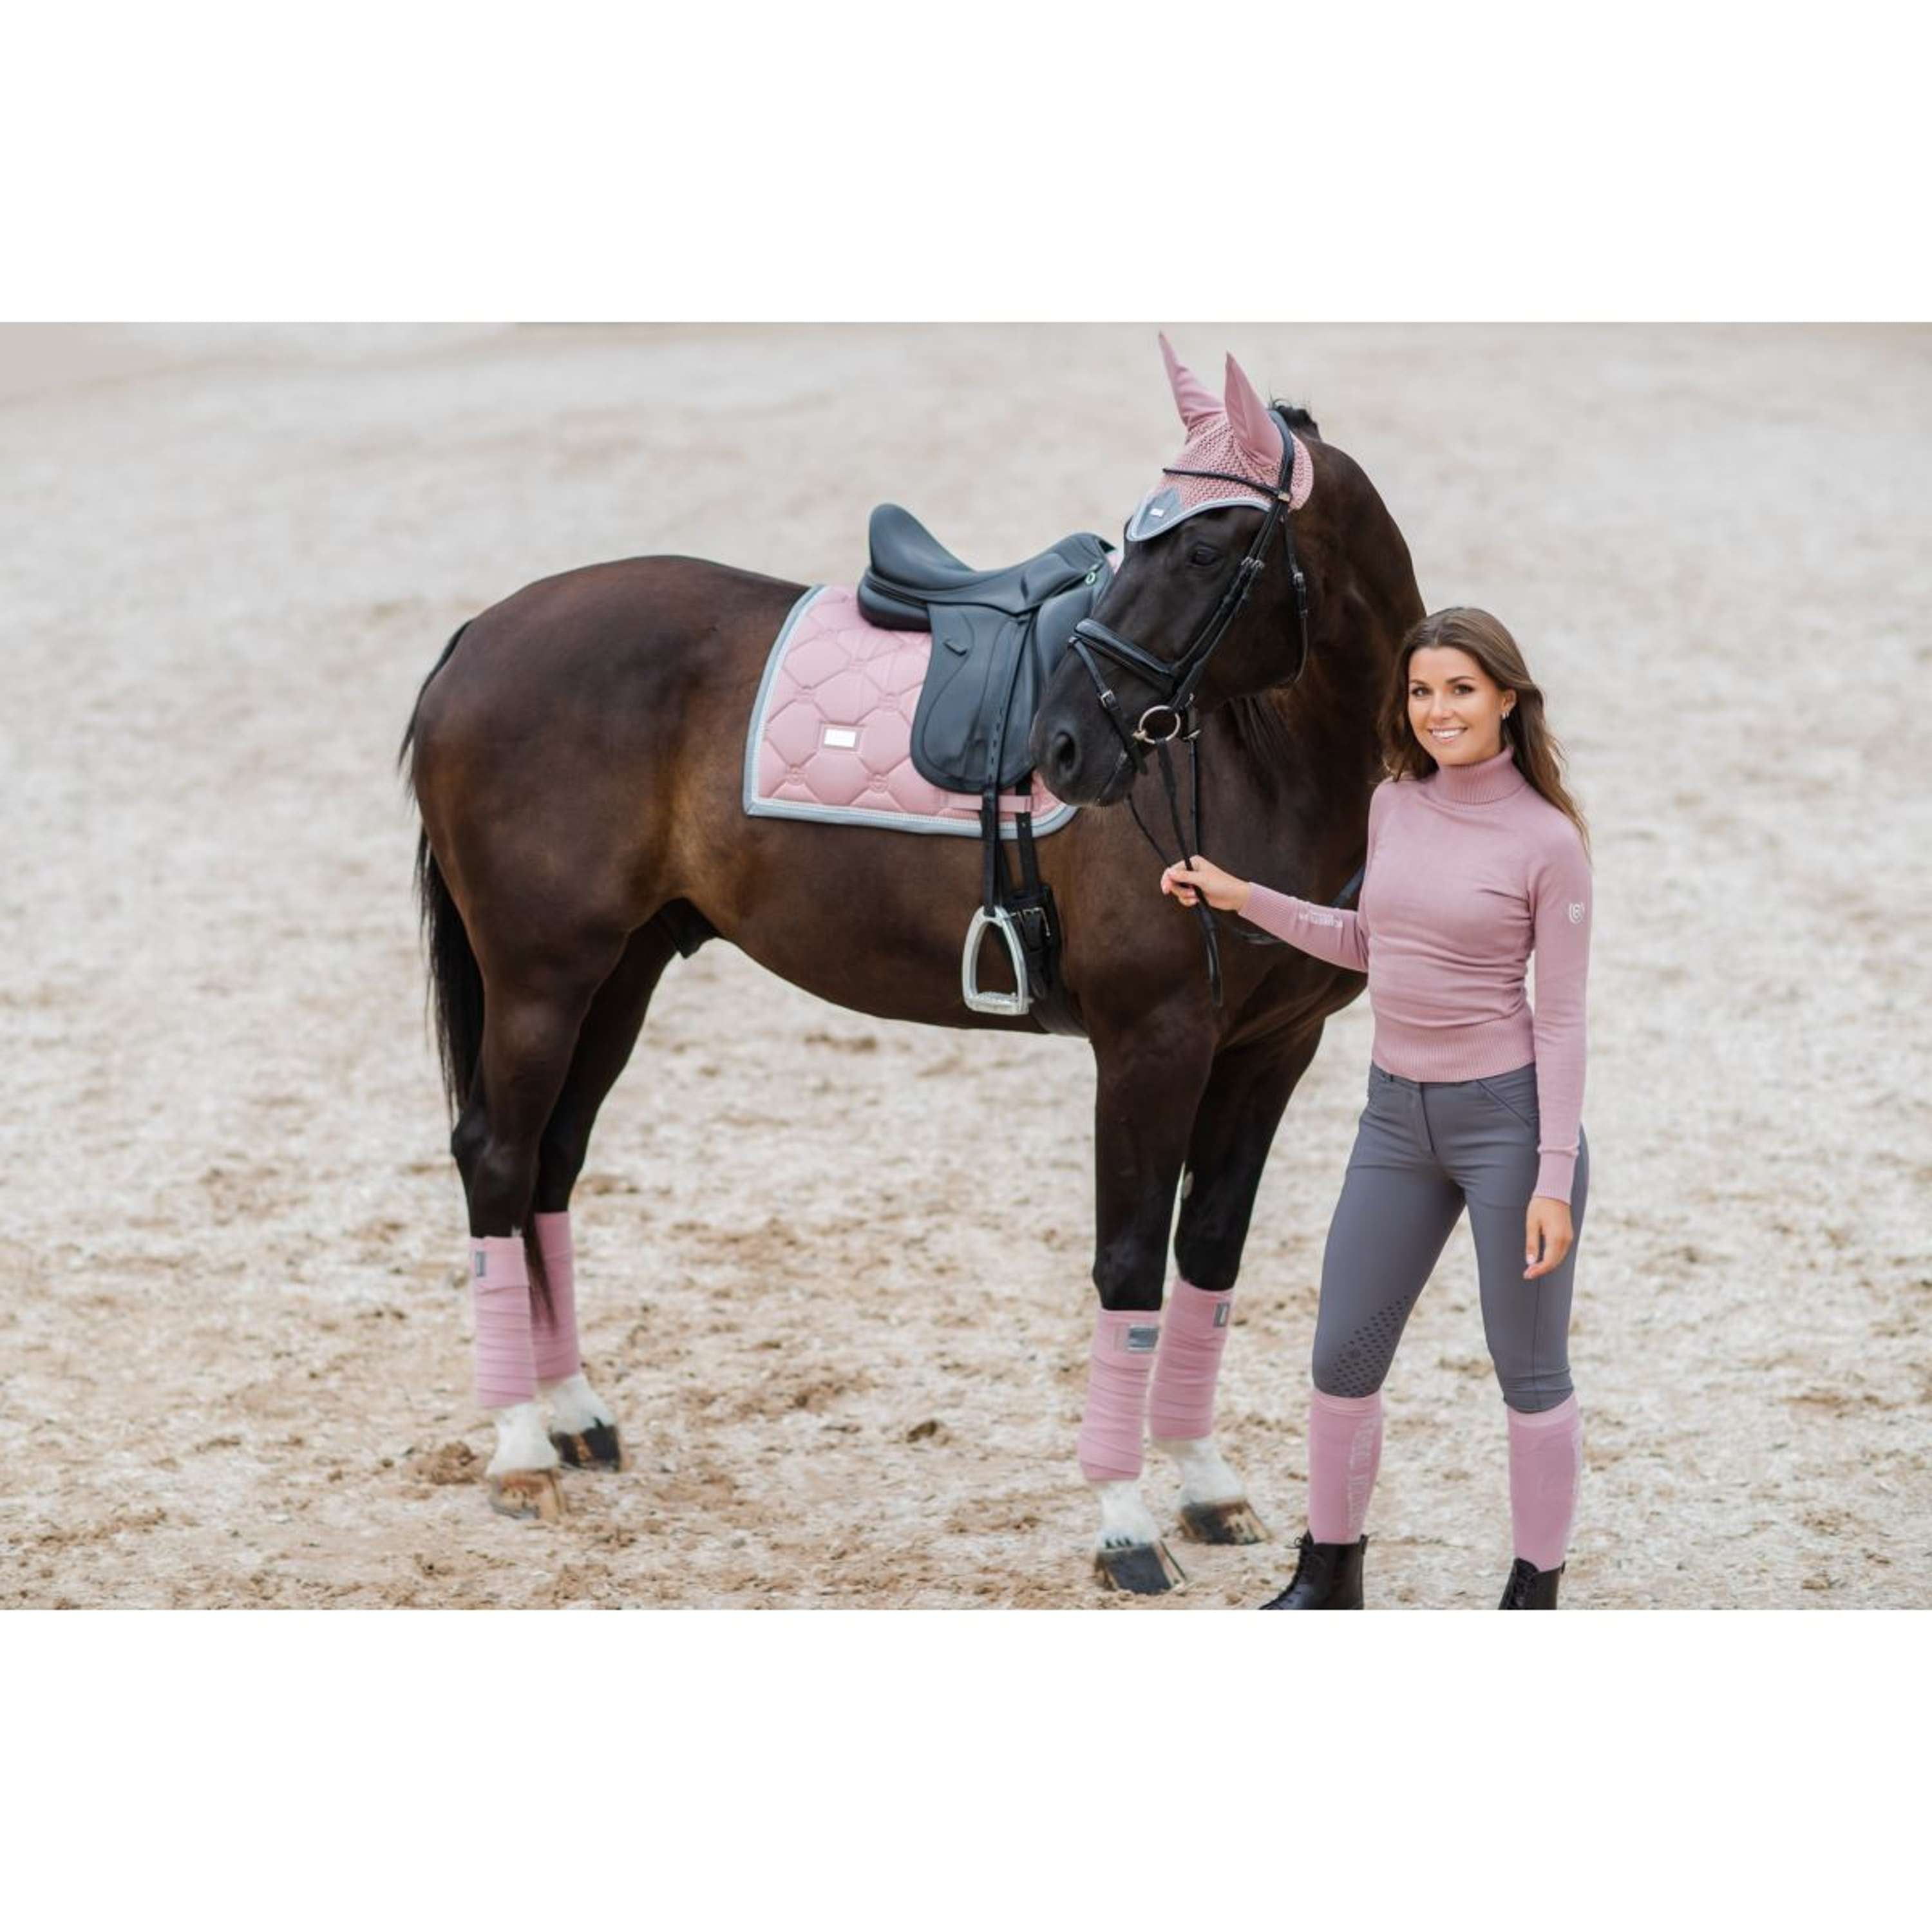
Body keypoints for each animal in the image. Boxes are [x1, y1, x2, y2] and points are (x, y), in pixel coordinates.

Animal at [399, 337, 1424, 1594]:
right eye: (1136, 538)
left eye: (1201, 545)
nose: (1061, 744)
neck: (1257, 764)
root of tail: (485, 632)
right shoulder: (1154, 1045)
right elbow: (1130, 1264)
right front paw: (1124, 1522)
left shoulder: (1272, 1048)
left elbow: (1209, 1260)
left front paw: (1205, 1483)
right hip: (542, 977)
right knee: (496, 1159)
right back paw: (518, 1451)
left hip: (621, 971)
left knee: (551, 1161)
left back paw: (577, 1415)